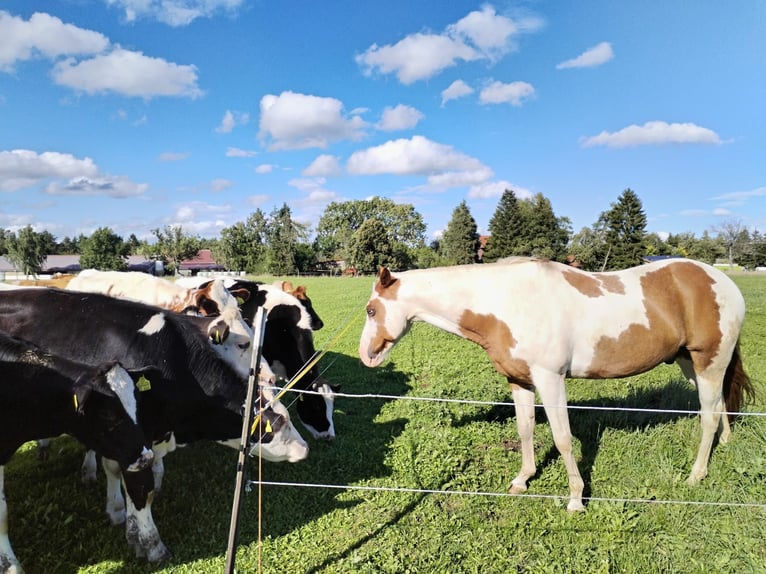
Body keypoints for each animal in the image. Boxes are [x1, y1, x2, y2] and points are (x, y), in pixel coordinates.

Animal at [358, 257, 754, 511]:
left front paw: (576, 499)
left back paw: (695, 476)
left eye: (371, 310)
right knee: (718, 405)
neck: (508, 301)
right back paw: (725, 444)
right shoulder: (519, 380)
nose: (366, 355)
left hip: (709, 362)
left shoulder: (550, 379)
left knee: (707, 417)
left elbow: (563, 438)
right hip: (692, 363)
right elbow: (526, 430)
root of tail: (724, 282)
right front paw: (522, 480)